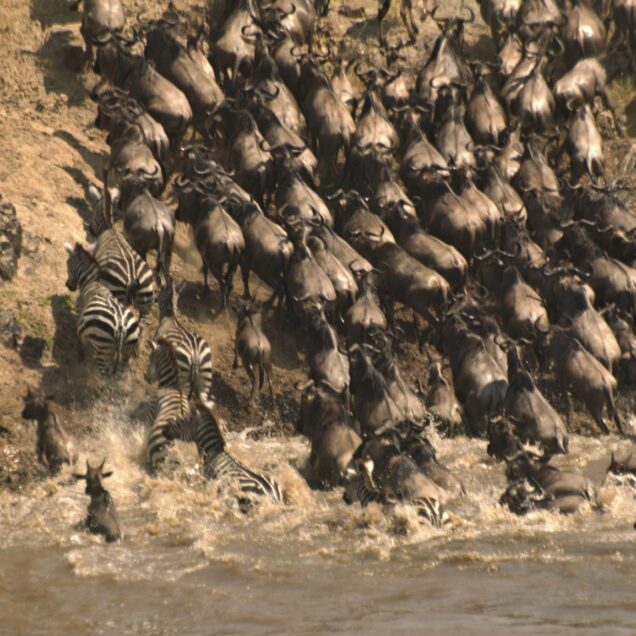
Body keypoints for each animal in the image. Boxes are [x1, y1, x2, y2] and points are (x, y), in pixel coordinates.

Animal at [64, 241, 140, 376]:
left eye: (67, 264)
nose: (68, 286)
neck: (92, 281)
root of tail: (120, 330)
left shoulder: (79, 311)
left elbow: (78, 337)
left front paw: (80, 354)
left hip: (101, 350)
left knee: (105, 375)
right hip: (127, 351)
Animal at [86, 181, 155, 316]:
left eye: (92, 213)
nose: (90, 230)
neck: (108, 228)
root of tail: (133, 279)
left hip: (115, 292)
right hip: (146, 303)